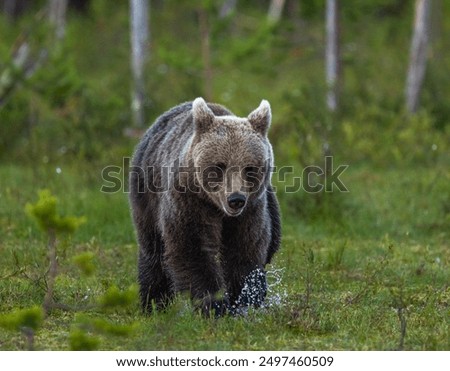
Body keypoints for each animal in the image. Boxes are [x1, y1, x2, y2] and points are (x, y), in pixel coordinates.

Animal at [128, 98, 280, 316]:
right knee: (153, 250)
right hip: (146, 194)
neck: (217, 208)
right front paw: (215, 305)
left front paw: (245, 300)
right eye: (219, 166)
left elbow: (245, 249)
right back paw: (154, 303)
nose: (236, 199)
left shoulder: (252, 210)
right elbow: (192, 247)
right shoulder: (189, 201)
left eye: (249, 168)